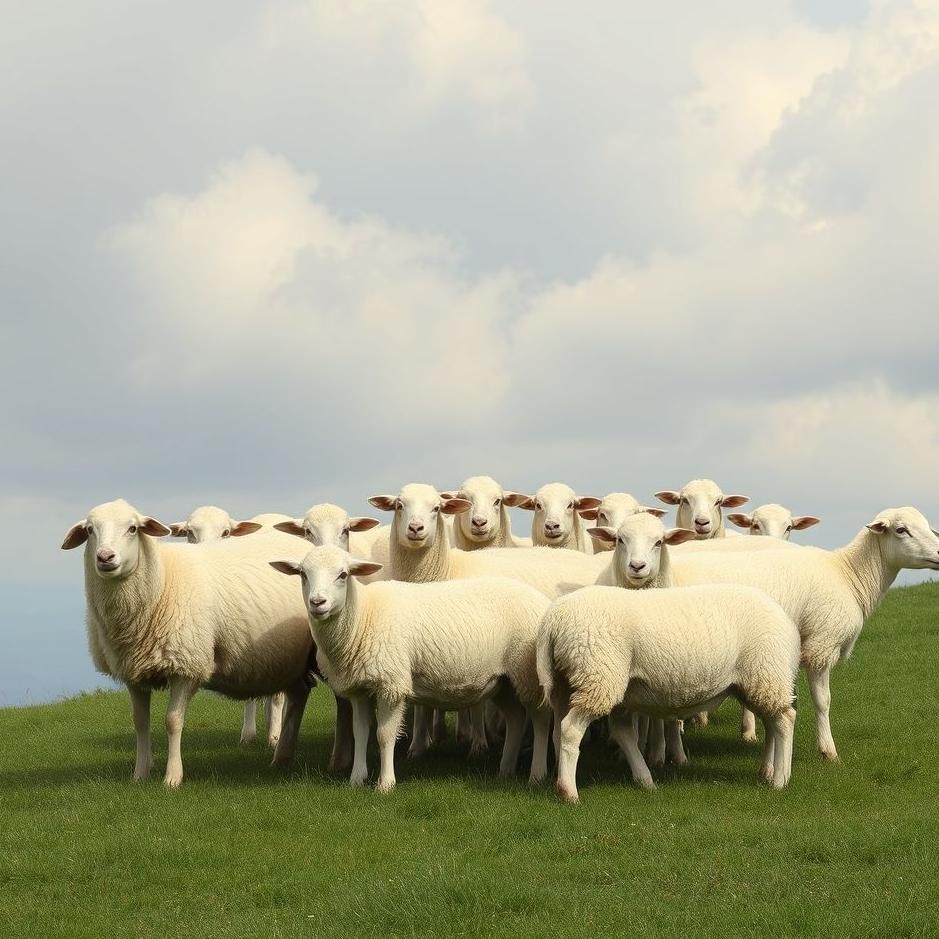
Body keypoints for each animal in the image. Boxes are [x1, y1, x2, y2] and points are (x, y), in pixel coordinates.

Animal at [61, 499, 313, 787]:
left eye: (133, 528)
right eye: (90, 530)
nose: (105, 557)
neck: (162, 582)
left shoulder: (187, 665)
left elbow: (172, 721)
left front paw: (172, 777)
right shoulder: (133, 671)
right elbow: (140, 723)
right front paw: (140, 774)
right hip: (290, 659)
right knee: (299, 694)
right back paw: (283, 756)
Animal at [270, 545, 553, 791]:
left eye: (343, 574)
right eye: (303, 574)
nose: (318, 602)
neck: (363, 617)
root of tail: (542, 600)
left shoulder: (392, 684)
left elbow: (384, 735)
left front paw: (385, 784)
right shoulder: (359, 689)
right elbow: (360, 732)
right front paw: (356, 779)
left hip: (528, 674)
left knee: (539, 719)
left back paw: (537, 775)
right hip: (503, 680)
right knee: (515, 717)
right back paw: (506, 769)